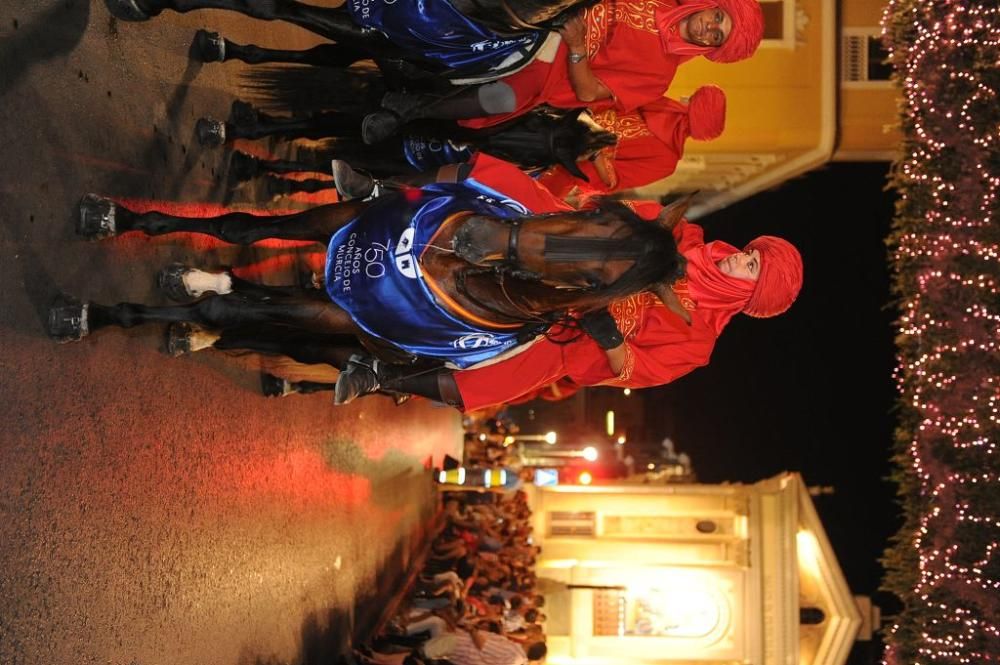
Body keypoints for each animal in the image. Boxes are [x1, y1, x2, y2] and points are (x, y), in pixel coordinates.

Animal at [50, 184, 692, 378]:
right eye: (598, 213)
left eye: (591, 276)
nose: (475, 236)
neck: (436, 266)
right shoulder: (342, 225)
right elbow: (240, 227)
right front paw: (117, 218)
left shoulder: (342, 310)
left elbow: (232, 312)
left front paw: (96, 315)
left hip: (348, 335)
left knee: (283, 332)